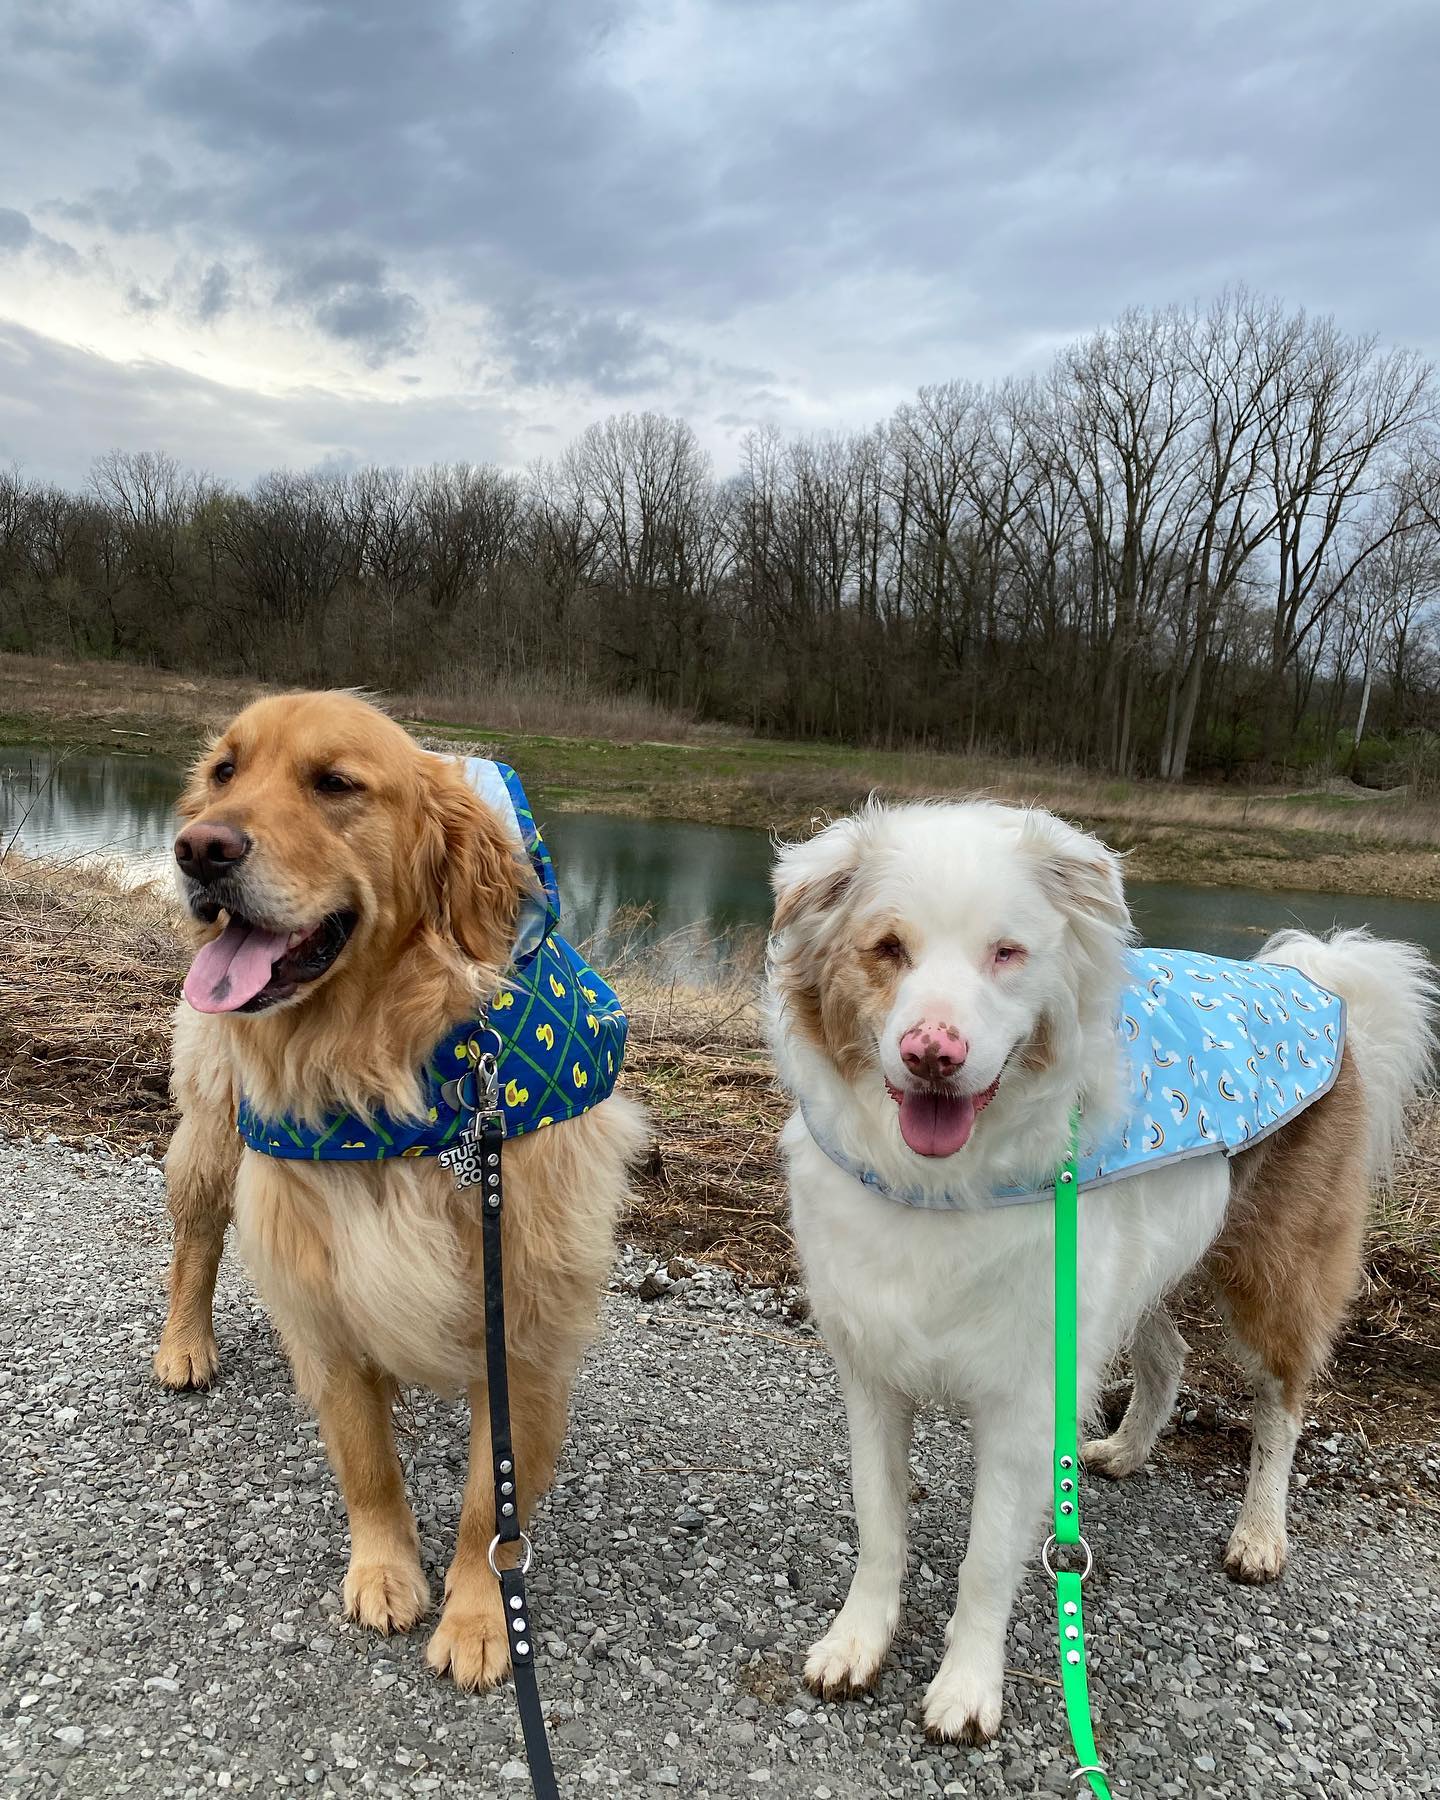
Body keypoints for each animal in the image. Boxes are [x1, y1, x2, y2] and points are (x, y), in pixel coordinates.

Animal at [763, 802, 1425, 1742]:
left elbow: (985, 1559)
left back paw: (1260, 1533)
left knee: (1282, 1403)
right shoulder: (872, 1373)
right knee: (1168, 1355)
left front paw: (968, 1686)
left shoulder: (1026, 1395)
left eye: (1006, 952)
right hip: (1132, 1264)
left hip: (1273, 1274)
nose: (932, 1052)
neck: (942, 1184)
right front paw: (858, 1641)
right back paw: (1123, 1449)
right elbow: (879, 1524)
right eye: (887, 948)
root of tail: (1315, 980)